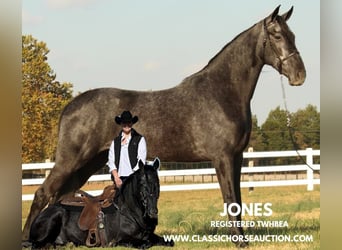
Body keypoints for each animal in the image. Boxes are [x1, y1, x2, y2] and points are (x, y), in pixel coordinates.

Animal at [23, 5, 304, 248]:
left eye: (293, 35)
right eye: (277, 35)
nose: (300, 75)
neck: (221, 93)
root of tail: (70, 106)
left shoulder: (237, 157)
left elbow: (238, 199)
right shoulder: (223, 158)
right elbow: (230, 199)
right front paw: (239, 242)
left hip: (89, 163)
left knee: (61, 196)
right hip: (70, 161)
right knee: (42, 194)